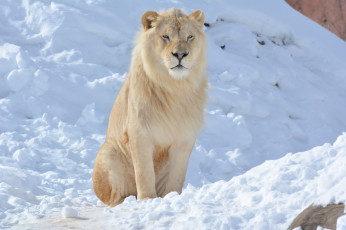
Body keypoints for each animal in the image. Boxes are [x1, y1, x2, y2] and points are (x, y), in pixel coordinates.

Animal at [92, 8, 208, 207]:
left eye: (190, 37)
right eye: (166, 36)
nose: (180, 55)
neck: (175, 86)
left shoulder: (185, 136)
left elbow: (178, 174)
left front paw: (172, 197)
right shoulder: (140, 132)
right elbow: (144, 171)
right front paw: (147, 199)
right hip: (108, 152)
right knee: (113, 198)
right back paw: (128, 201)